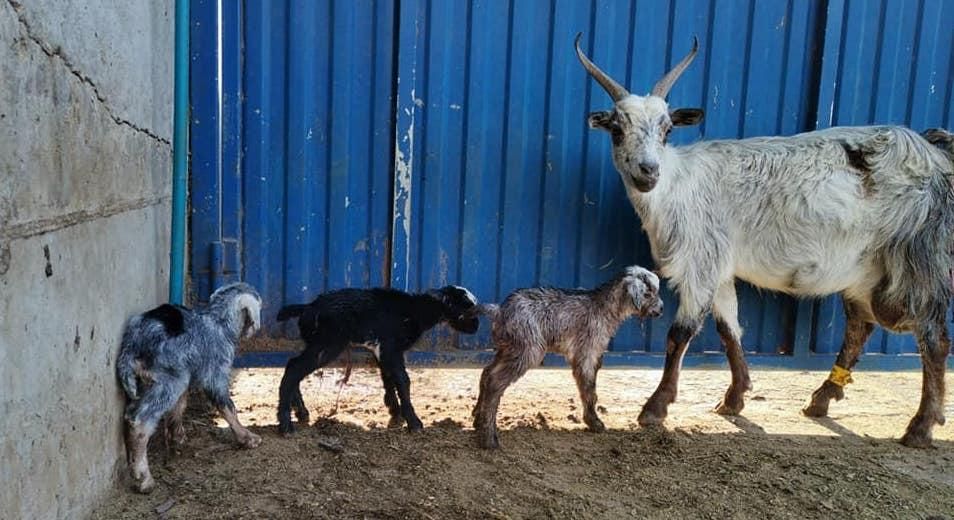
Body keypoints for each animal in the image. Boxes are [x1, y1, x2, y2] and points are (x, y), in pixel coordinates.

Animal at [116, 282, 263, 493]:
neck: (218, 322)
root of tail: (132, 345)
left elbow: (179, 407)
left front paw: (177, 437)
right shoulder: (216, 374)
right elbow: (228, 407)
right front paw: (246, 437)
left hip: (162, 380)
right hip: (171, 379)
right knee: (139, 420)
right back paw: (143, 478)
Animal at [275, 285, 480, 434]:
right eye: (467, 308)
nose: (476, 327)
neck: (414, 310)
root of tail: (308, 307)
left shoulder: (382, 351)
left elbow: (388, 378)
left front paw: (395, 414)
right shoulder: (391, 348)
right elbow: (403, 381)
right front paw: (414, 422)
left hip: (316, 342)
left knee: (293, 365)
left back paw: (301, 412)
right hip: (328, 344)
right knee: (294, 369)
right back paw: (285, 424)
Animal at [471, 266, 663, 449]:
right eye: (648, 293)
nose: (661, 309)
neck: (602, 306)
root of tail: (499, 311)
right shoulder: (587, 353)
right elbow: (589, 390)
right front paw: (594, 422)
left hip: (508, 349)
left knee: (487, 373)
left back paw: (478, 418)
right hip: (528, 349)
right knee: (495, 382)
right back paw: (488, 438)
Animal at [575, 33, 954, 447]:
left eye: (667, 130)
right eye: (617, 130)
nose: (648, 171)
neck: (678, 185)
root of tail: (935, 154)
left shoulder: (702, 261)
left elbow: (680, 334)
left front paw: (654, 409)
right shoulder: (722, 267)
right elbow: (729, 329)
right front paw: (735, 397)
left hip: (918, 256)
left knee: (933, 336)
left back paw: (920, 426)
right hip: (865, 265)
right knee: (861, 326)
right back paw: (821, 399)